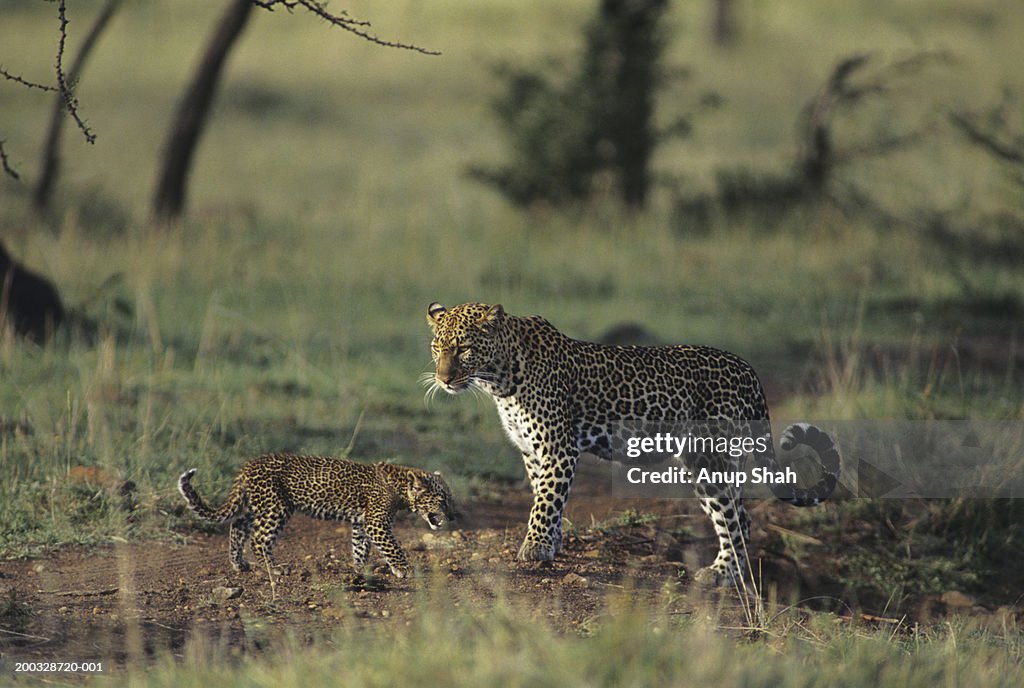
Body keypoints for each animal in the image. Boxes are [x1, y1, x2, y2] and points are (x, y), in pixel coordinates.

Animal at [423, 301, 839, 585]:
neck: (500, 379)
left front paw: (536, 547)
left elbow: (546, 501)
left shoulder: (558, 448)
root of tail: (748, 369)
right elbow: (544, 496)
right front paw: (551, 544)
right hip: (700, 464)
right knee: (741, 515)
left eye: (464, 348)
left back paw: (724, 575)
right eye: (437, 348)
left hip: (713, 459)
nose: (443, 379)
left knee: (737, 519)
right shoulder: (531, 452)